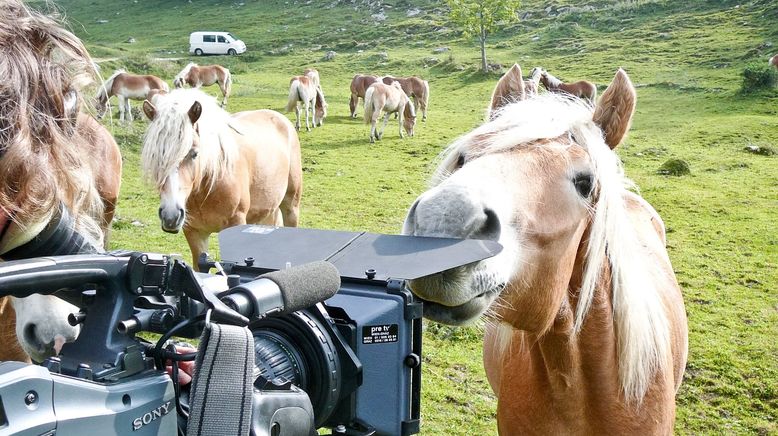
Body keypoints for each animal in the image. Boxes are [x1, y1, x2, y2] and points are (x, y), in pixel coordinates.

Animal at [141, 87, 302, 270]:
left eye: (194, 153)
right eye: (155, 156)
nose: (171, 216)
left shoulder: (236, 223)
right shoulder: (195, 233)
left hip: (291, 206)